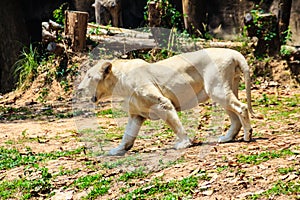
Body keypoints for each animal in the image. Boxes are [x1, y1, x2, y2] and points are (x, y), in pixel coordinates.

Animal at [78, 48, 254, 156]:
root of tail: (233, 53)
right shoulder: (136, 114)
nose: (79, 88)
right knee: (234, 118)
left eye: (88, 76)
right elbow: (127, 135)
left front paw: (183, 144)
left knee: (242, 107)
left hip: (217, 89)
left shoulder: (163, 103)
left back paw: (247, 136)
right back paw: (227, 138)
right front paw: (118, 150)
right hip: (224, 90)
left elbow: (175, 125)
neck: (119, 84)